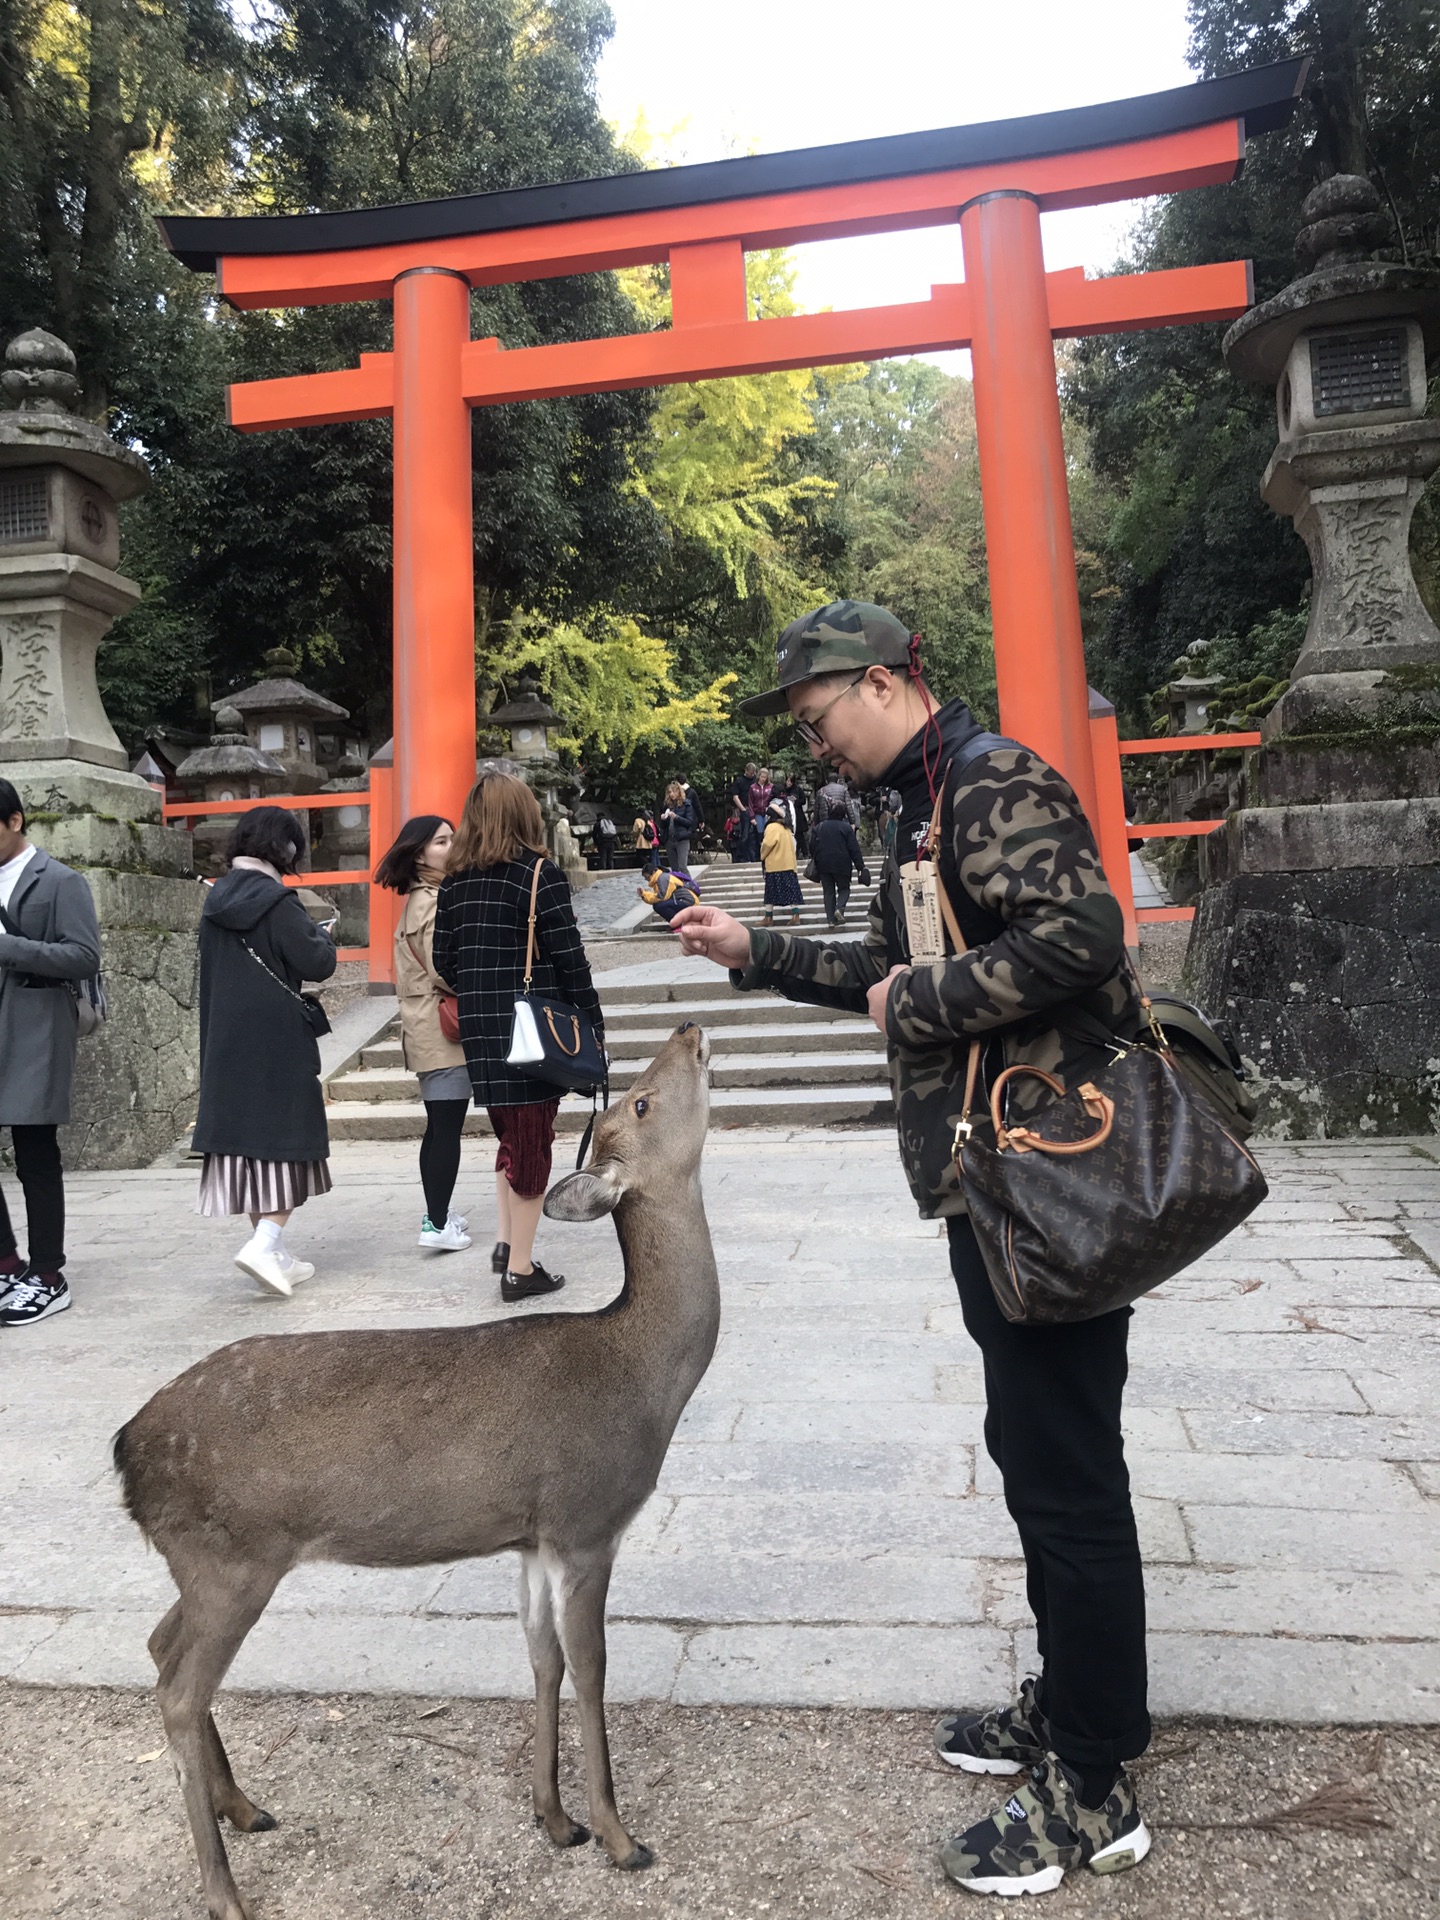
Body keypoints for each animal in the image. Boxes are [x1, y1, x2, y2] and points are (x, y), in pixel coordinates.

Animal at [112, 1021, 721, 1920]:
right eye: (641, 1100)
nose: (690, 1029)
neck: (644, 1379)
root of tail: (125, 1448)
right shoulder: (586, 1519)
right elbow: (592, 1666)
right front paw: (620, 1838)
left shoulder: (530, 1537)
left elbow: (541, 1658)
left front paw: (555, 1821)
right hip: (231, 1558)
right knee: (179, 1689)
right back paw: (225, 1891)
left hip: (197, 1559)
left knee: (159, 1643)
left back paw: (245, 1806)